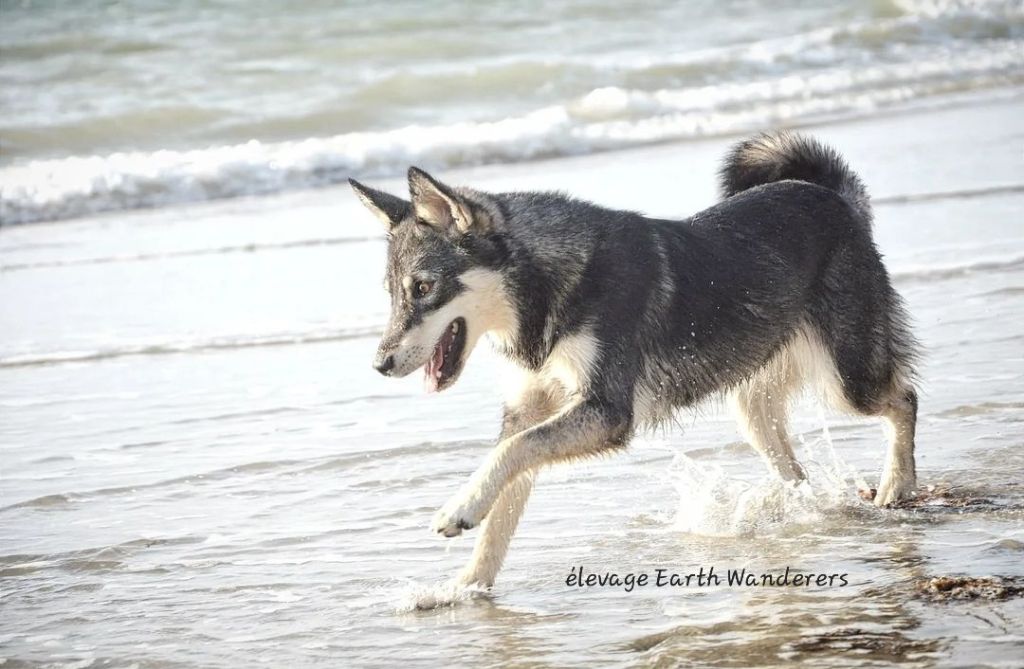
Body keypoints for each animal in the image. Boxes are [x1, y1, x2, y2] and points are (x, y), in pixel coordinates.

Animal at [350, 132, 921, 590]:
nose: (379, 364)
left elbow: (512, 453)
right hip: (753, 409)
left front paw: (458, 509)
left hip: (848, 381)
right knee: (795, 471)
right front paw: (465, 586)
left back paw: (896, 484)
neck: (550, 288)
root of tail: (836, 198)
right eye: (393, 294)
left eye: (423, 288)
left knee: (905, 398)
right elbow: (505, 494)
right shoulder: (529, 409)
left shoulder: (606, 413)